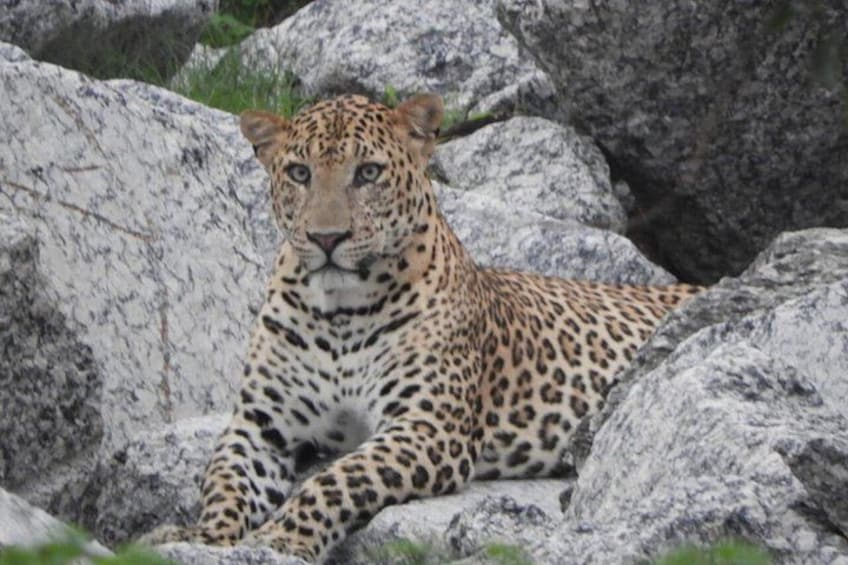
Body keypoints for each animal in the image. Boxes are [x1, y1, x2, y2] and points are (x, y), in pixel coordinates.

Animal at [141, 93, 702, 563]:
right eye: (299, 172)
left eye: (368, 172)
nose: (326, 238)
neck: (338, 314)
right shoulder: (261, 427)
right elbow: (225, 483)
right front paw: (202, 535)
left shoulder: (426, 426)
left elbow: (336, 480)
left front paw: (282, 537)